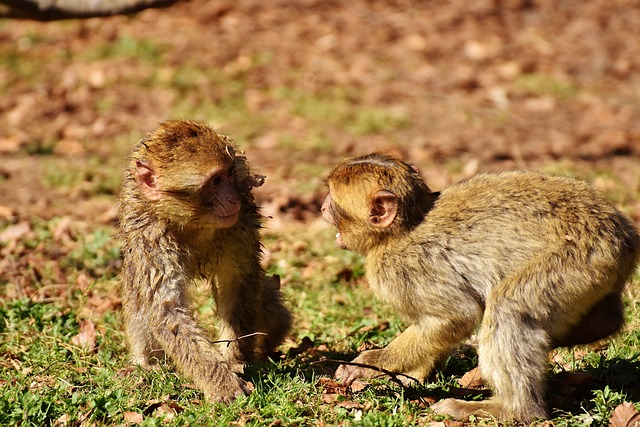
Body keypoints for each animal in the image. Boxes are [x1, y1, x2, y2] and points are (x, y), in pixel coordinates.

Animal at [117, 118, 292, 402]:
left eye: (229, 176)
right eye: (215, 181)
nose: (233, 198)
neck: (191, 222)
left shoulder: (239, 223)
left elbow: (237, 283)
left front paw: (235, 360)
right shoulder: (150, 234)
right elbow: (167, 309)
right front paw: (221, 382)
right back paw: (144, 363)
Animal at [322, 153, 640, 422]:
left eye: (334, 203)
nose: (322, 207)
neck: (401, 230)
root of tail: (624, 235)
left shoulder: (402, 270)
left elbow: (456, 317)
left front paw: (372, 363)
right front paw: (409, 374)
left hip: (579, 258)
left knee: (508, 307)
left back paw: (511, 410)